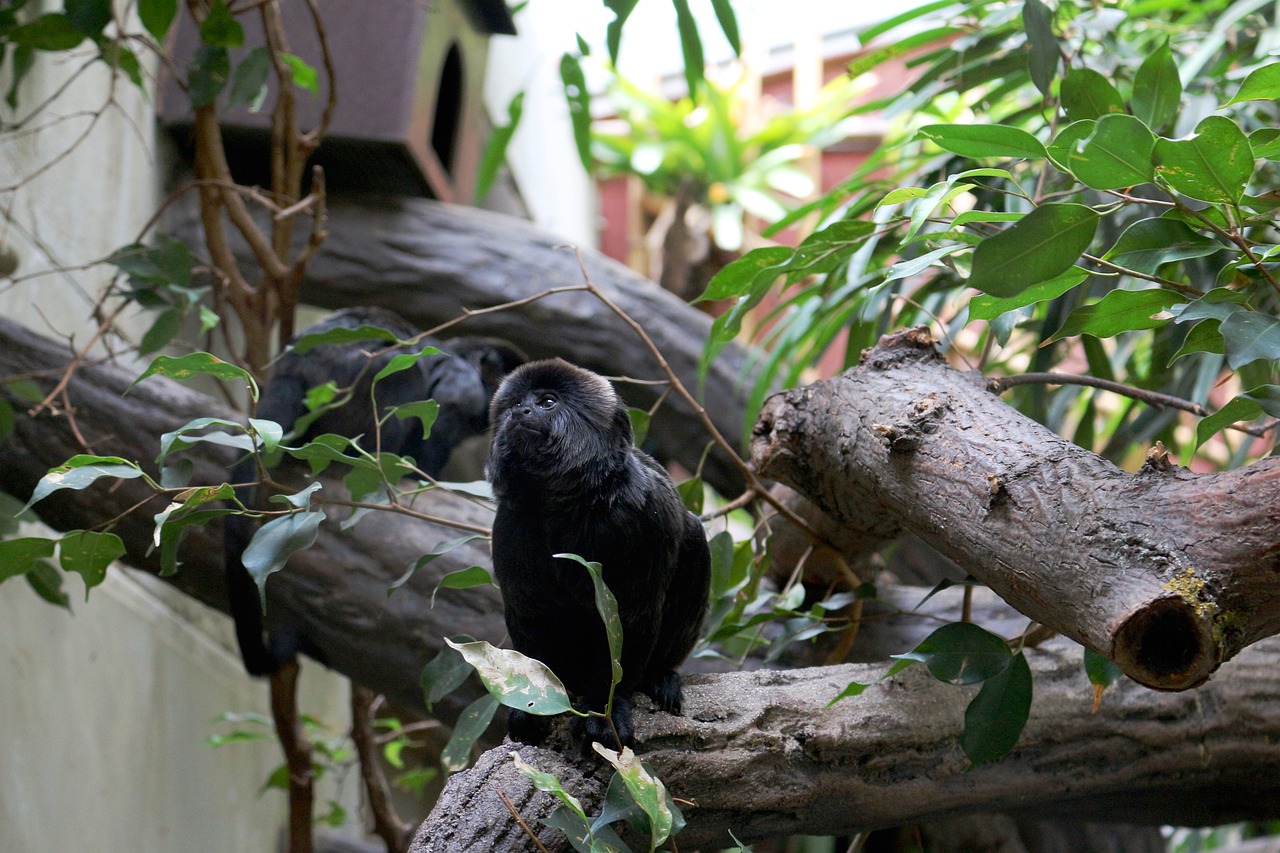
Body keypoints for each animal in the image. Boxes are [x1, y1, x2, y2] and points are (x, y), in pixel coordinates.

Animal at [486, 356, 716, 742]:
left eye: (547, 402)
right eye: (515, 403)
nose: (520, 412)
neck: (562, 506)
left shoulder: (642, 520)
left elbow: (629, 619)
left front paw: (606, 709)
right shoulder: (508, 529)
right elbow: (530, 612)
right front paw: (533, 705)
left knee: (696, 539)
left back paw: (661, 675)